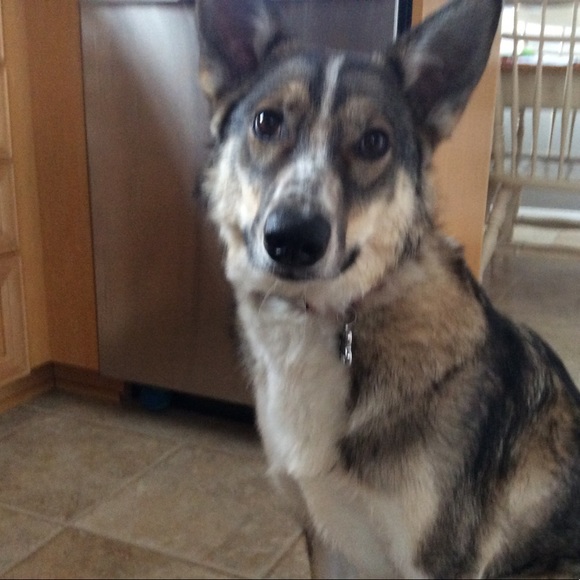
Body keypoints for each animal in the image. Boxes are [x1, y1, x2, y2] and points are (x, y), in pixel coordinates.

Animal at [194, 0, 580, 576]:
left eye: (374, 141)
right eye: (267, 122)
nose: (293, 238)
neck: (331, 320)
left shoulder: (437, 563)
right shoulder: (325, 537)